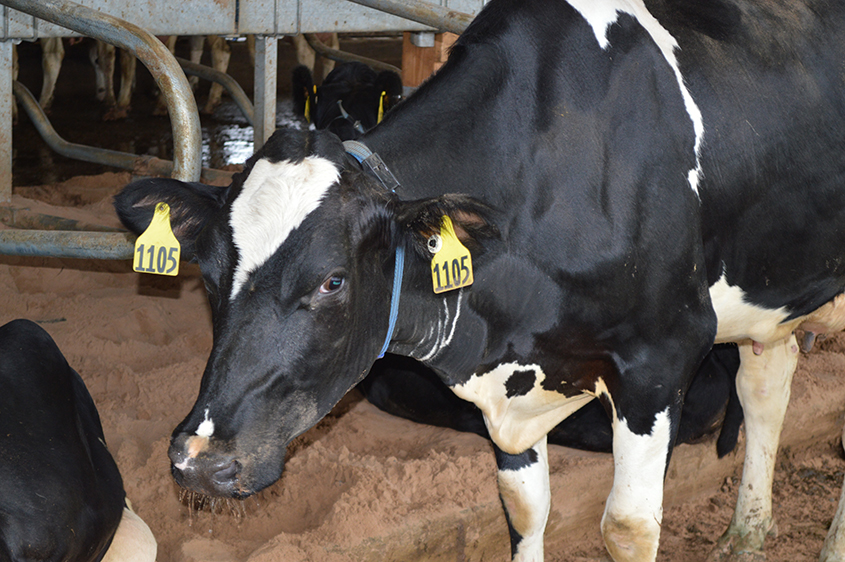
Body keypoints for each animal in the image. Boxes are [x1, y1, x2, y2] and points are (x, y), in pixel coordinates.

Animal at [113, 0, 844, 556]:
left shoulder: (661, 357)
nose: (199, 459)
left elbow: (628, 527)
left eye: (332, 282)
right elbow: (524, 509)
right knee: (765, 385)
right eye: (211, 275)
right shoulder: (513, 389)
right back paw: (746, 535)